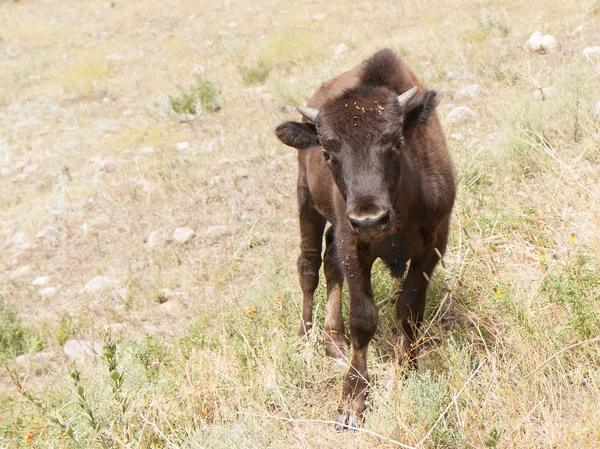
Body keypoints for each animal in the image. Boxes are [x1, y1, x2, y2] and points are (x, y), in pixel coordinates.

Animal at [274, 48, 454, 428]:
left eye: (398, 142)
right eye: (328, 153)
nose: (369, 219)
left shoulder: (433, 245)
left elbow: (409, 309)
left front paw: (408, 367)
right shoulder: (353, 245)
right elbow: (364, 318)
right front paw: (352, 401)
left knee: (328, 265)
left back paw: (334, 344)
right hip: (307, 204)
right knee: (308, 267)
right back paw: (305, 337)